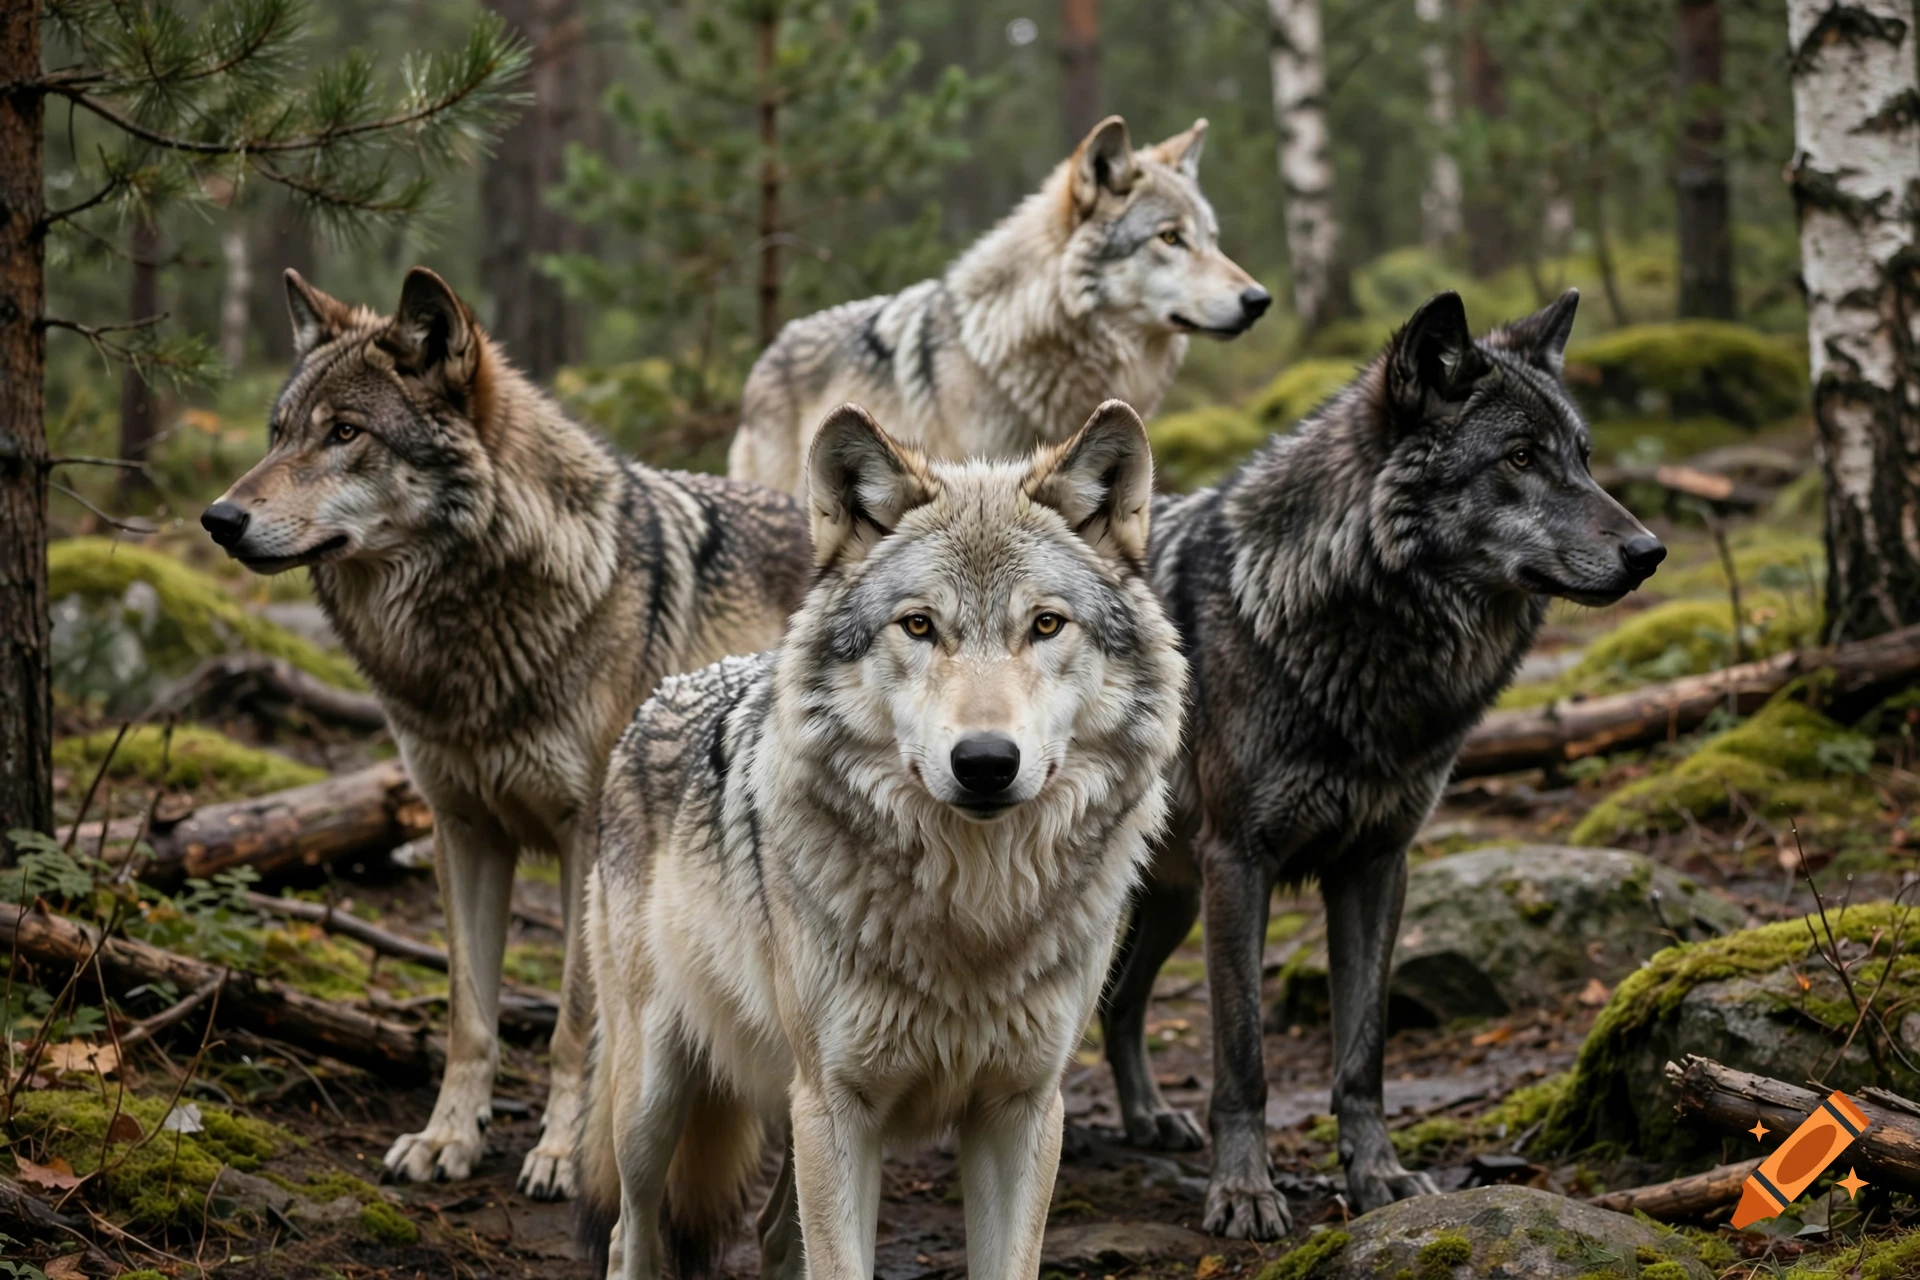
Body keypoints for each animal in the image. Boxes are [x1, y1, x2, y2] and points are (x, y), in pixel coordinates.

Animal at [200, 267, 813, 1201]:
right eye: (279, 434)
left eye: (345, 433)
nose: (218, 519)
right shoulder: (462, 829)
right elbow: (470, 1016)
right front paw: (447, 1137)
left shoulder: (584, 839)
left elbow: (573, 1023)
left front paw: (560, 1153)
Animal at [575, 401, 1188, 1280]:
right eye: (919, 625)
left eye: (1045, 625)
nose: (986, 763)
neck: (974, 913)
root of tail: (663, 693)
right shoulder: (838, 1107)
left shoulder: (1022, 1109)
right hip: (654, 1099)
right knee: (631, 1231)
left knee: (772, 1233)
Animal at [1097, 290, 1668, 1238]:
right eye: (1519, 457)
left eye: (1584, 459)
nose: (1650, 552)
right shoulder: (1239, 865)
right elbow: (1243, 1058)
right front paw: (1243, 1191)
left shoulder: (1377, 864)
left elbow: (1362, 1054)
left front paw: (1379, 1178)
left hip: (1170, 901)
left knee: (1119, 1004)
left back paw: (1147, 1119)